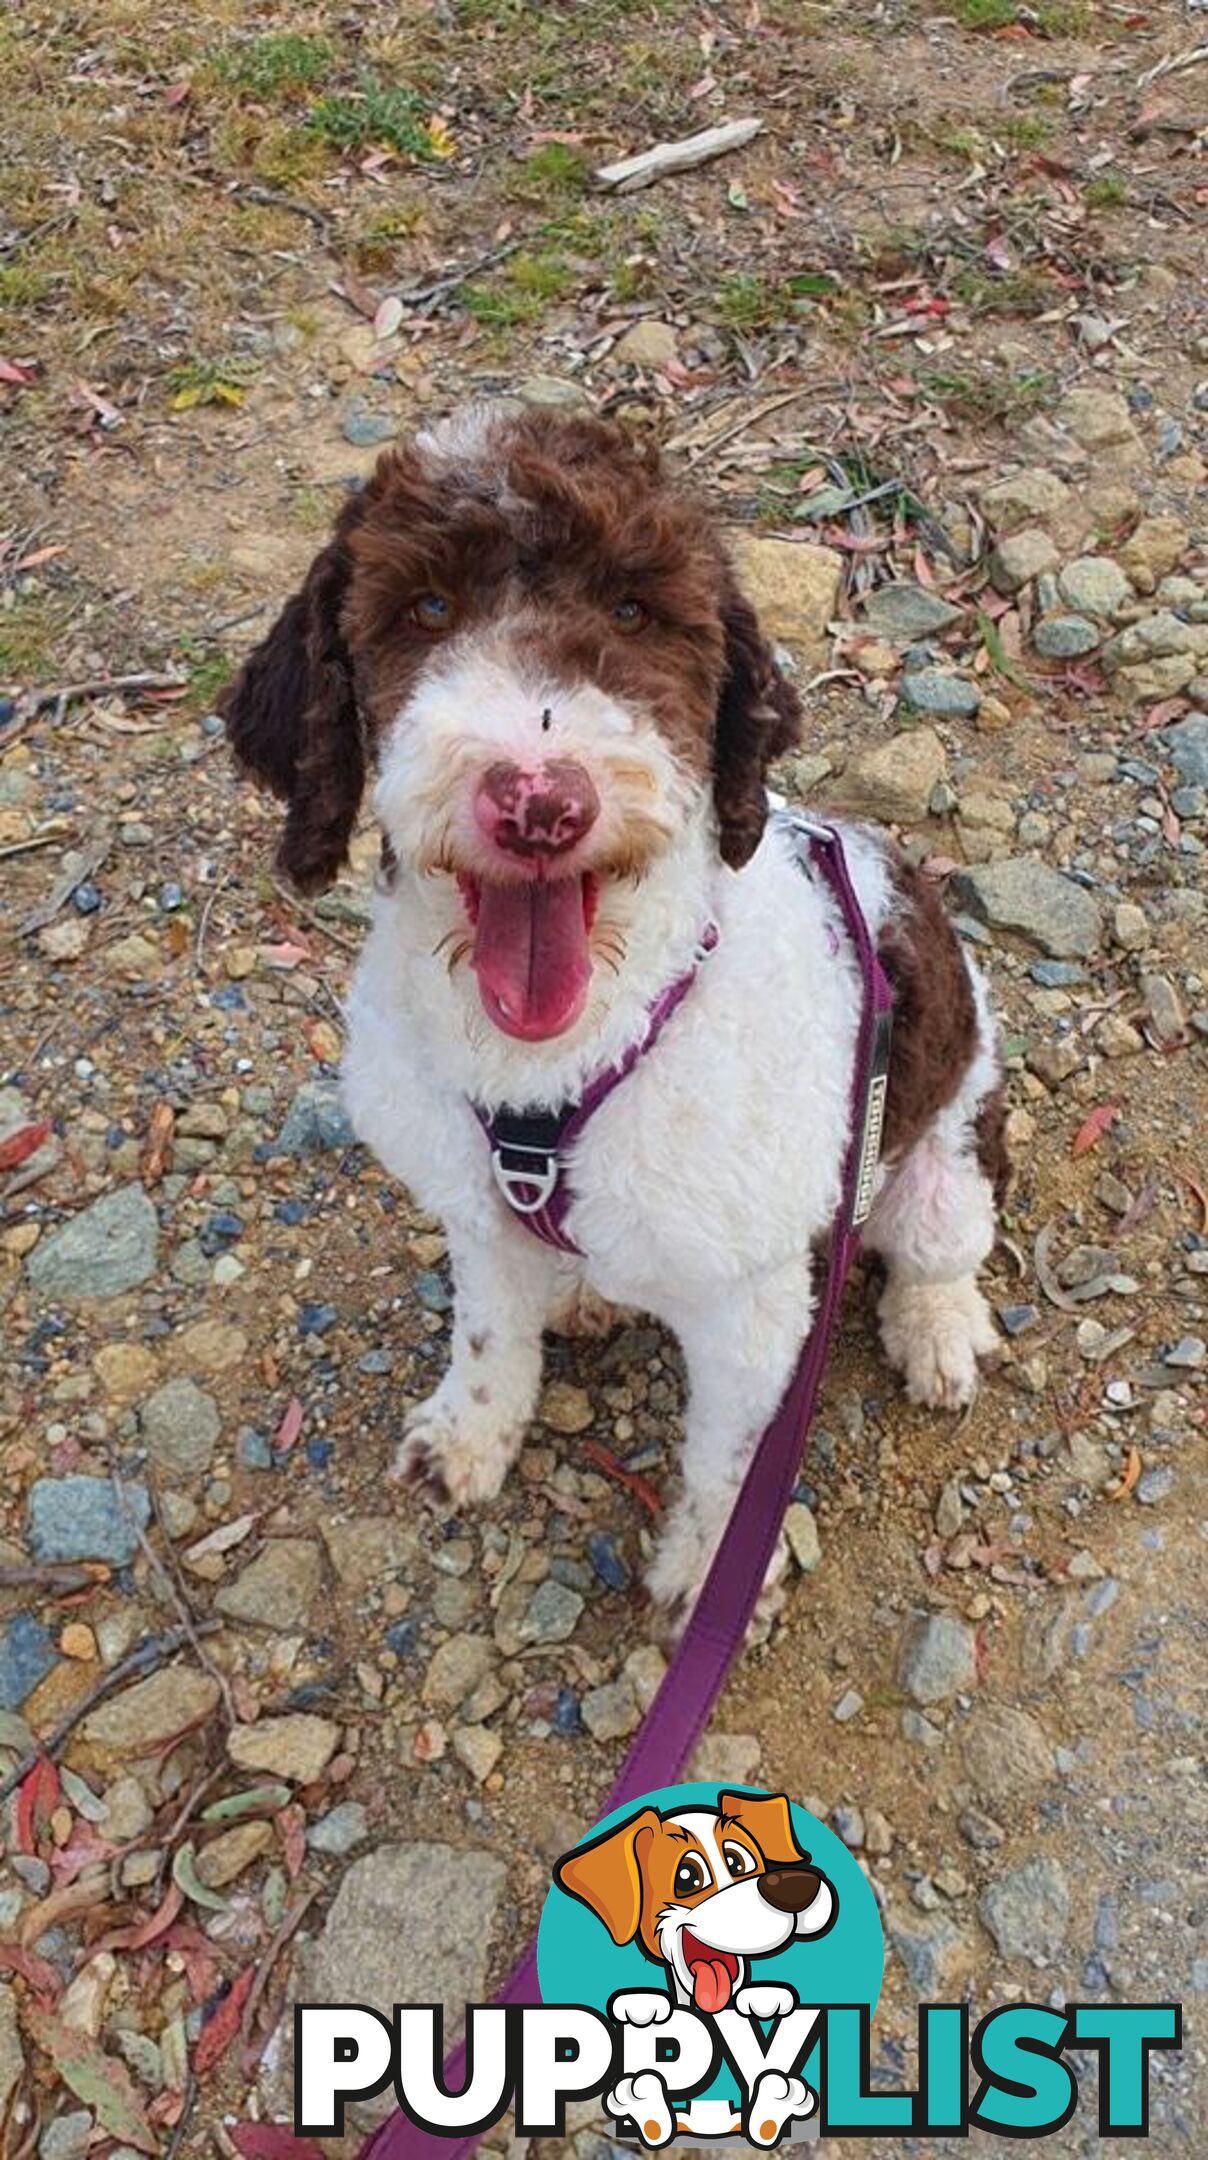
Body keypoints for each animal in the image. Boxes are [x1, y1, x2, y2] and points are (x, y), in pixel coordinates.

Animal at [222, 406, 1007, 1624]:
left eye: (636, 611)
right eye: (425, 609)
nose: (540, 802)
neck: (560, 1072)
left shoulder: (752, 1311)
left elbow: (729, 1461)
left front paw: (711, 1568)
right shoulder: (474, 1208)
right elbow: (487, 1334)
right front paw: (470, 1438)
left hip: (940, 1156)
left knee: (939, 1249)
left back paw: (938, 1331)